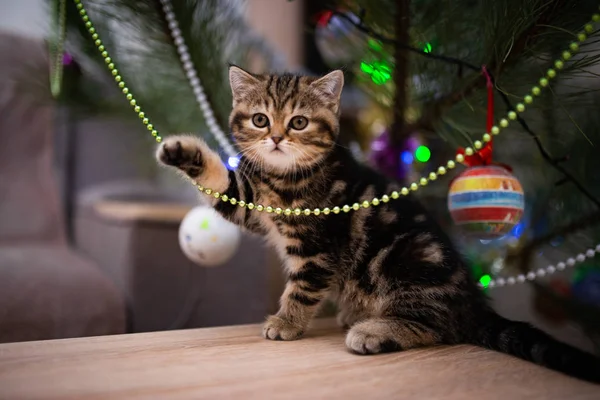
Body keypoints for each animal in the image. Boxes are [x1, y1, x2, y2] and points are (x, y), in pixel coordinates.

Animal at [157, 66, 600, 384]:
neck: (288, 178)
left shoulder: (321, 247)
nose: (278, 138)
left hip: (405, 256)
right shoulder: (252, 203)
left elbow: (303, 286)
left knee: (438, 327)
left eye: (299, 123)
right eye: (261, 120)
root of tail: (471, 300)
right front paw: (182, 150)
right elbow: (223, 185)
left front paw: (287, 322)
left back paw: (374, 332)